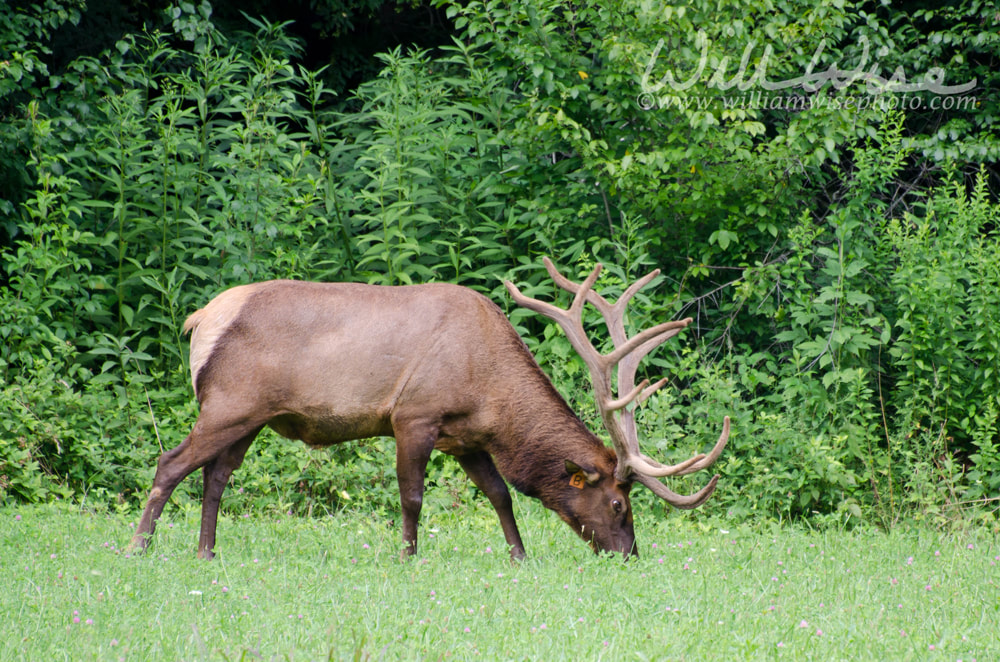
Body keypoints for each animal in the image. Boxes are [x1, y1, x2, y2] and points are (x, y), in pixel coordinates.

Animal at [131, 258, 728, 560]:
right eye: (618, 505)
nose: (629, 555)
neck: (489, 390)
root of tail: (200, 319)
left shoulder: (465, 437)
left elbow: (500, 495)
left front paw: (520, 557)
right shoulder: (413, 417)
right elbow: (413, 497)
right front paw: (408, 557)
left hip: (250, 417)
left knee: (215, 476)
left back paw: (207, 553)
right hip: (230, 402)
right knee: (170, 463)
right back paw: (139, 548)